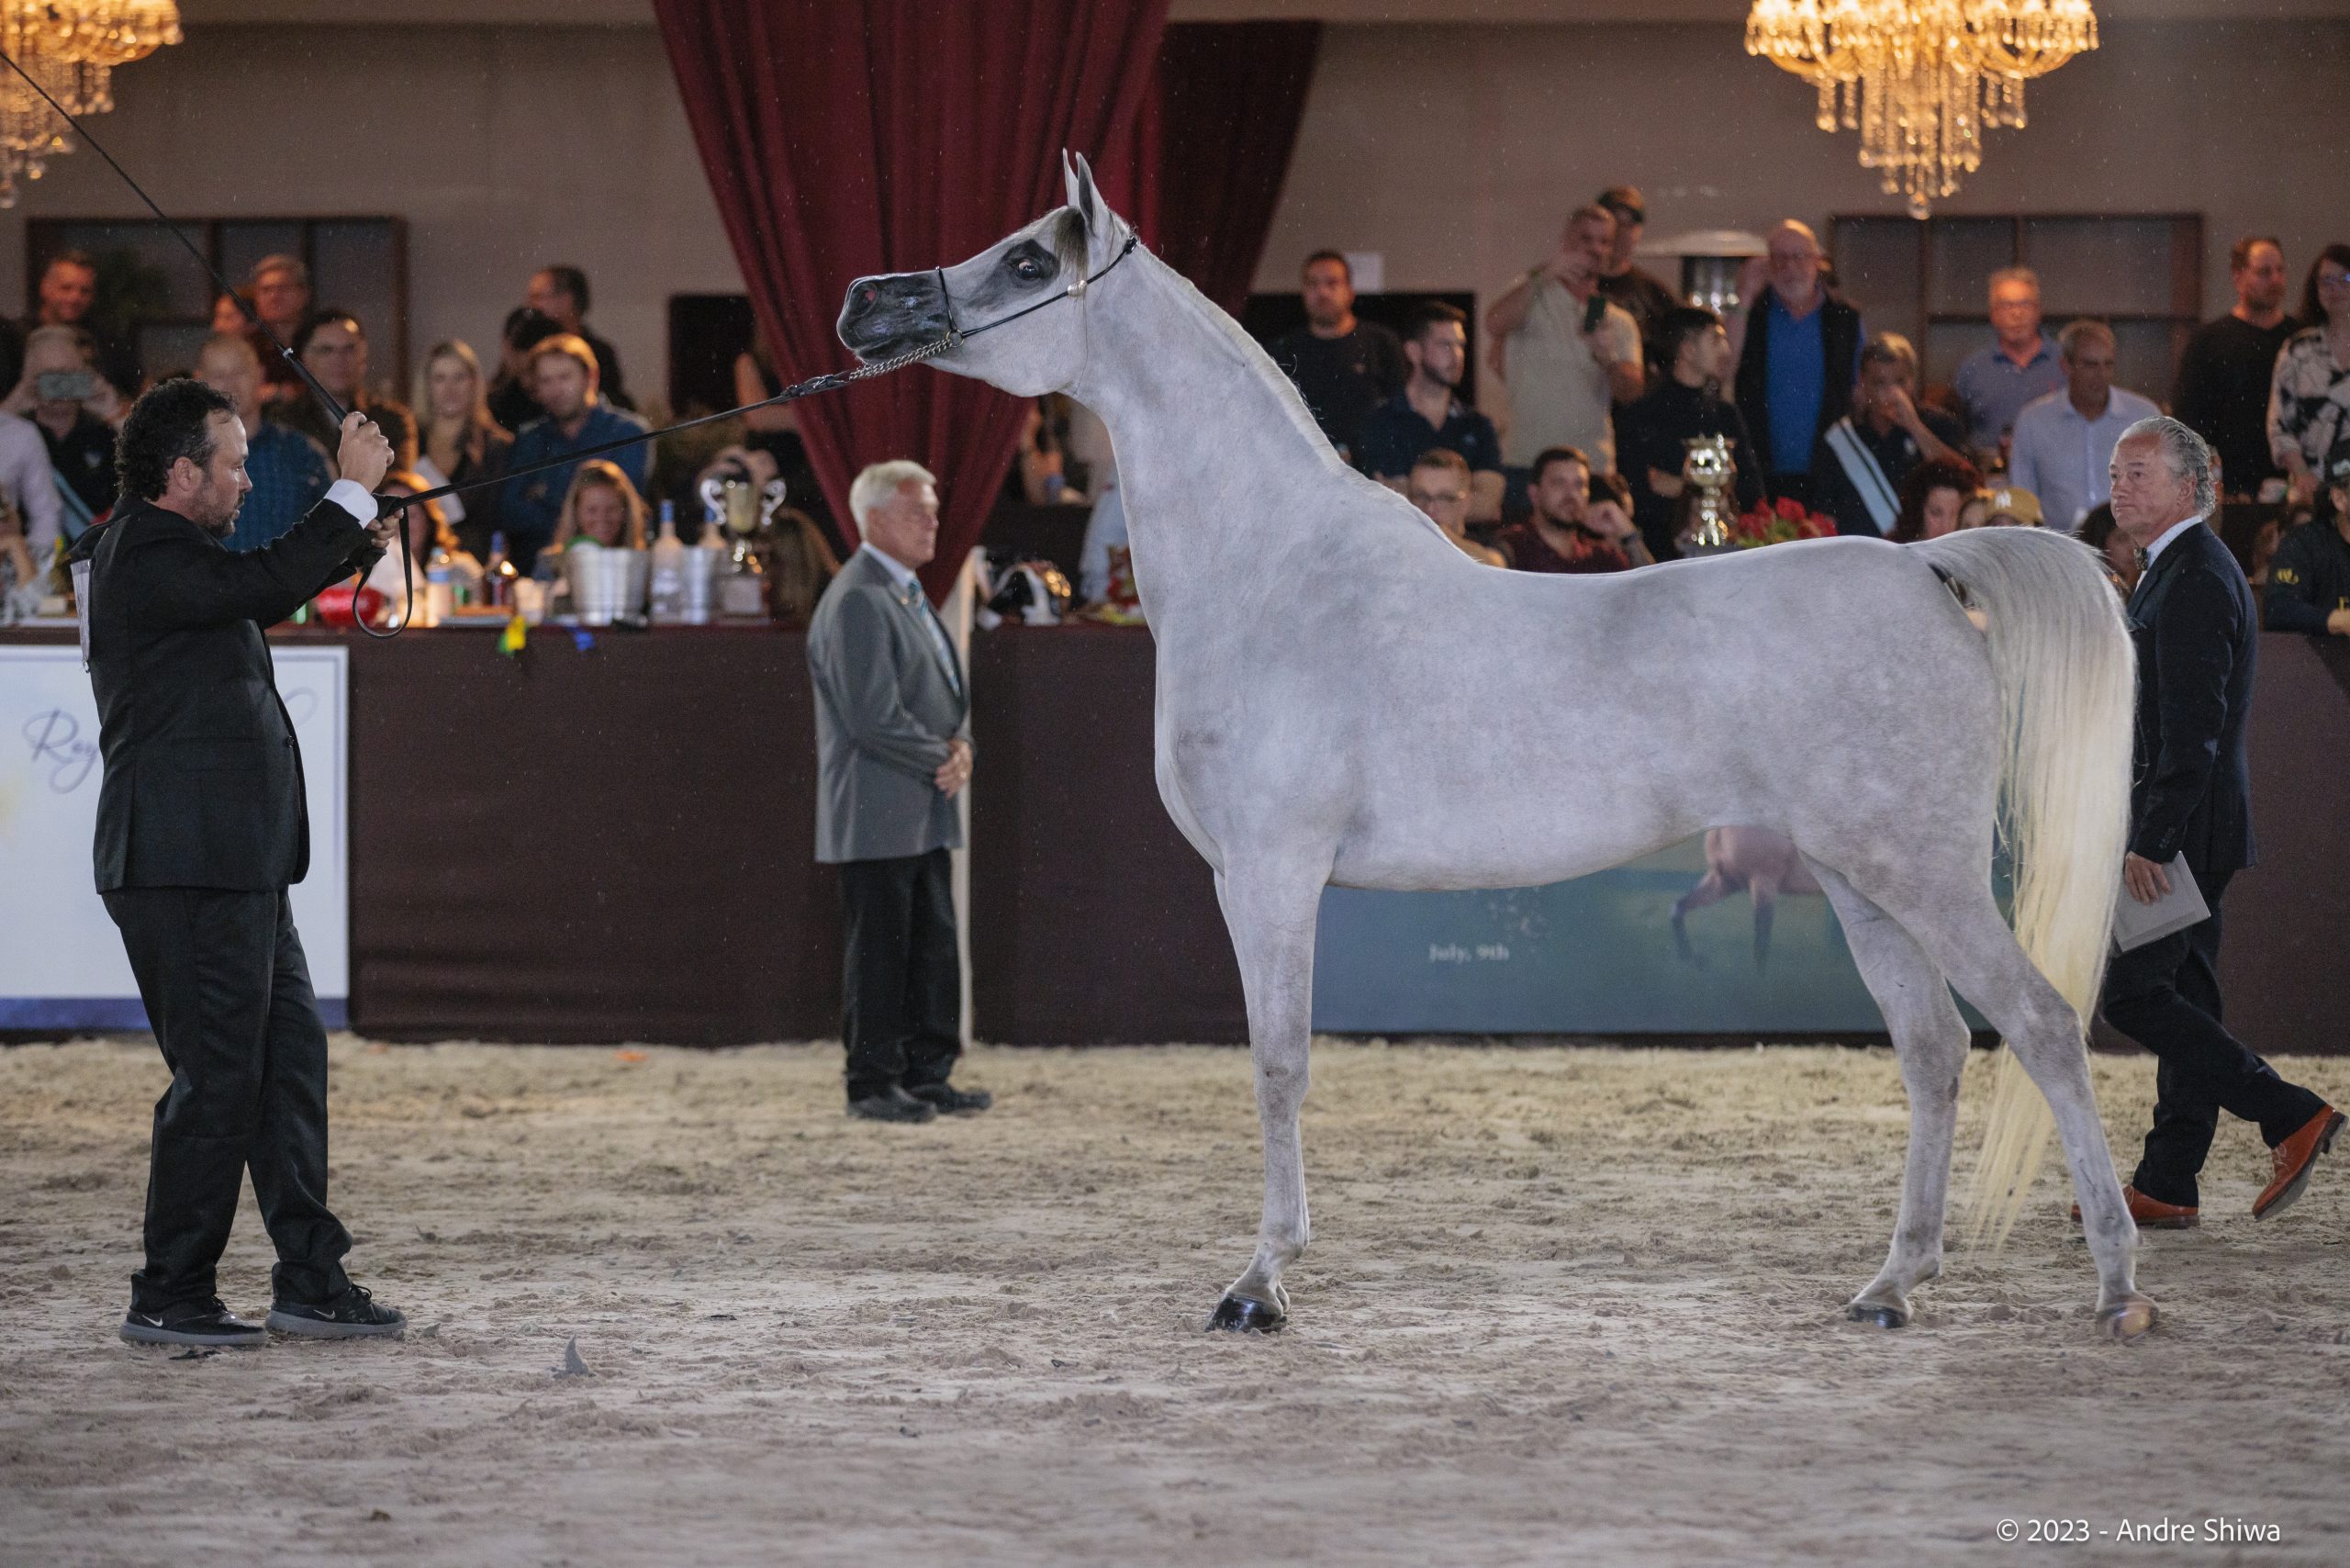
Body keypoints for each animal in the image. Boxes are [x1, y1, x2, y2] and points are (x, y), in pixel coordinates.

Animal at [836, 156, 2152, 1335]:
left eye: (1025, 259)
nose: (865, 304)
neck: (1273, 573)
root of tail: (1928, 566)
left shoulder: (1270, 874)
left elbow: (1278, 1064)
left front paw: (1260, 1283)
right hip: (1860, 879)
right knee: (1934, 1048)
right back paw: (1892, 1284)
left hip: (1923, 874)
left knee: (2040, 1026)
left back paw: (2118, 1289)